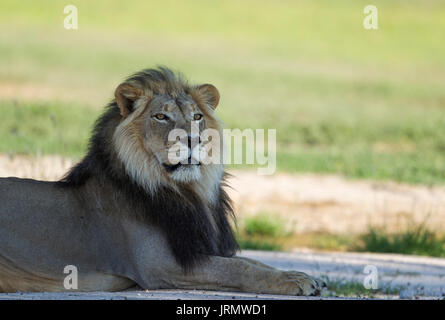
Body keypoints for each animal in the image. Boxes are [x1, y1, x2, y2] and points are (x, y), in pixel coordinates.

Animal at [0, 67, 326, 296]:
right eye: (160, 117)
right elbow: (238, 268)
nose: (193, 139)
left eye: (197, 116)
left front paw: (308, 276)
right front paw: (295, 280)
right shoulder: (159, 264)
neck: (185, 190)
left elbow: (253, 261)